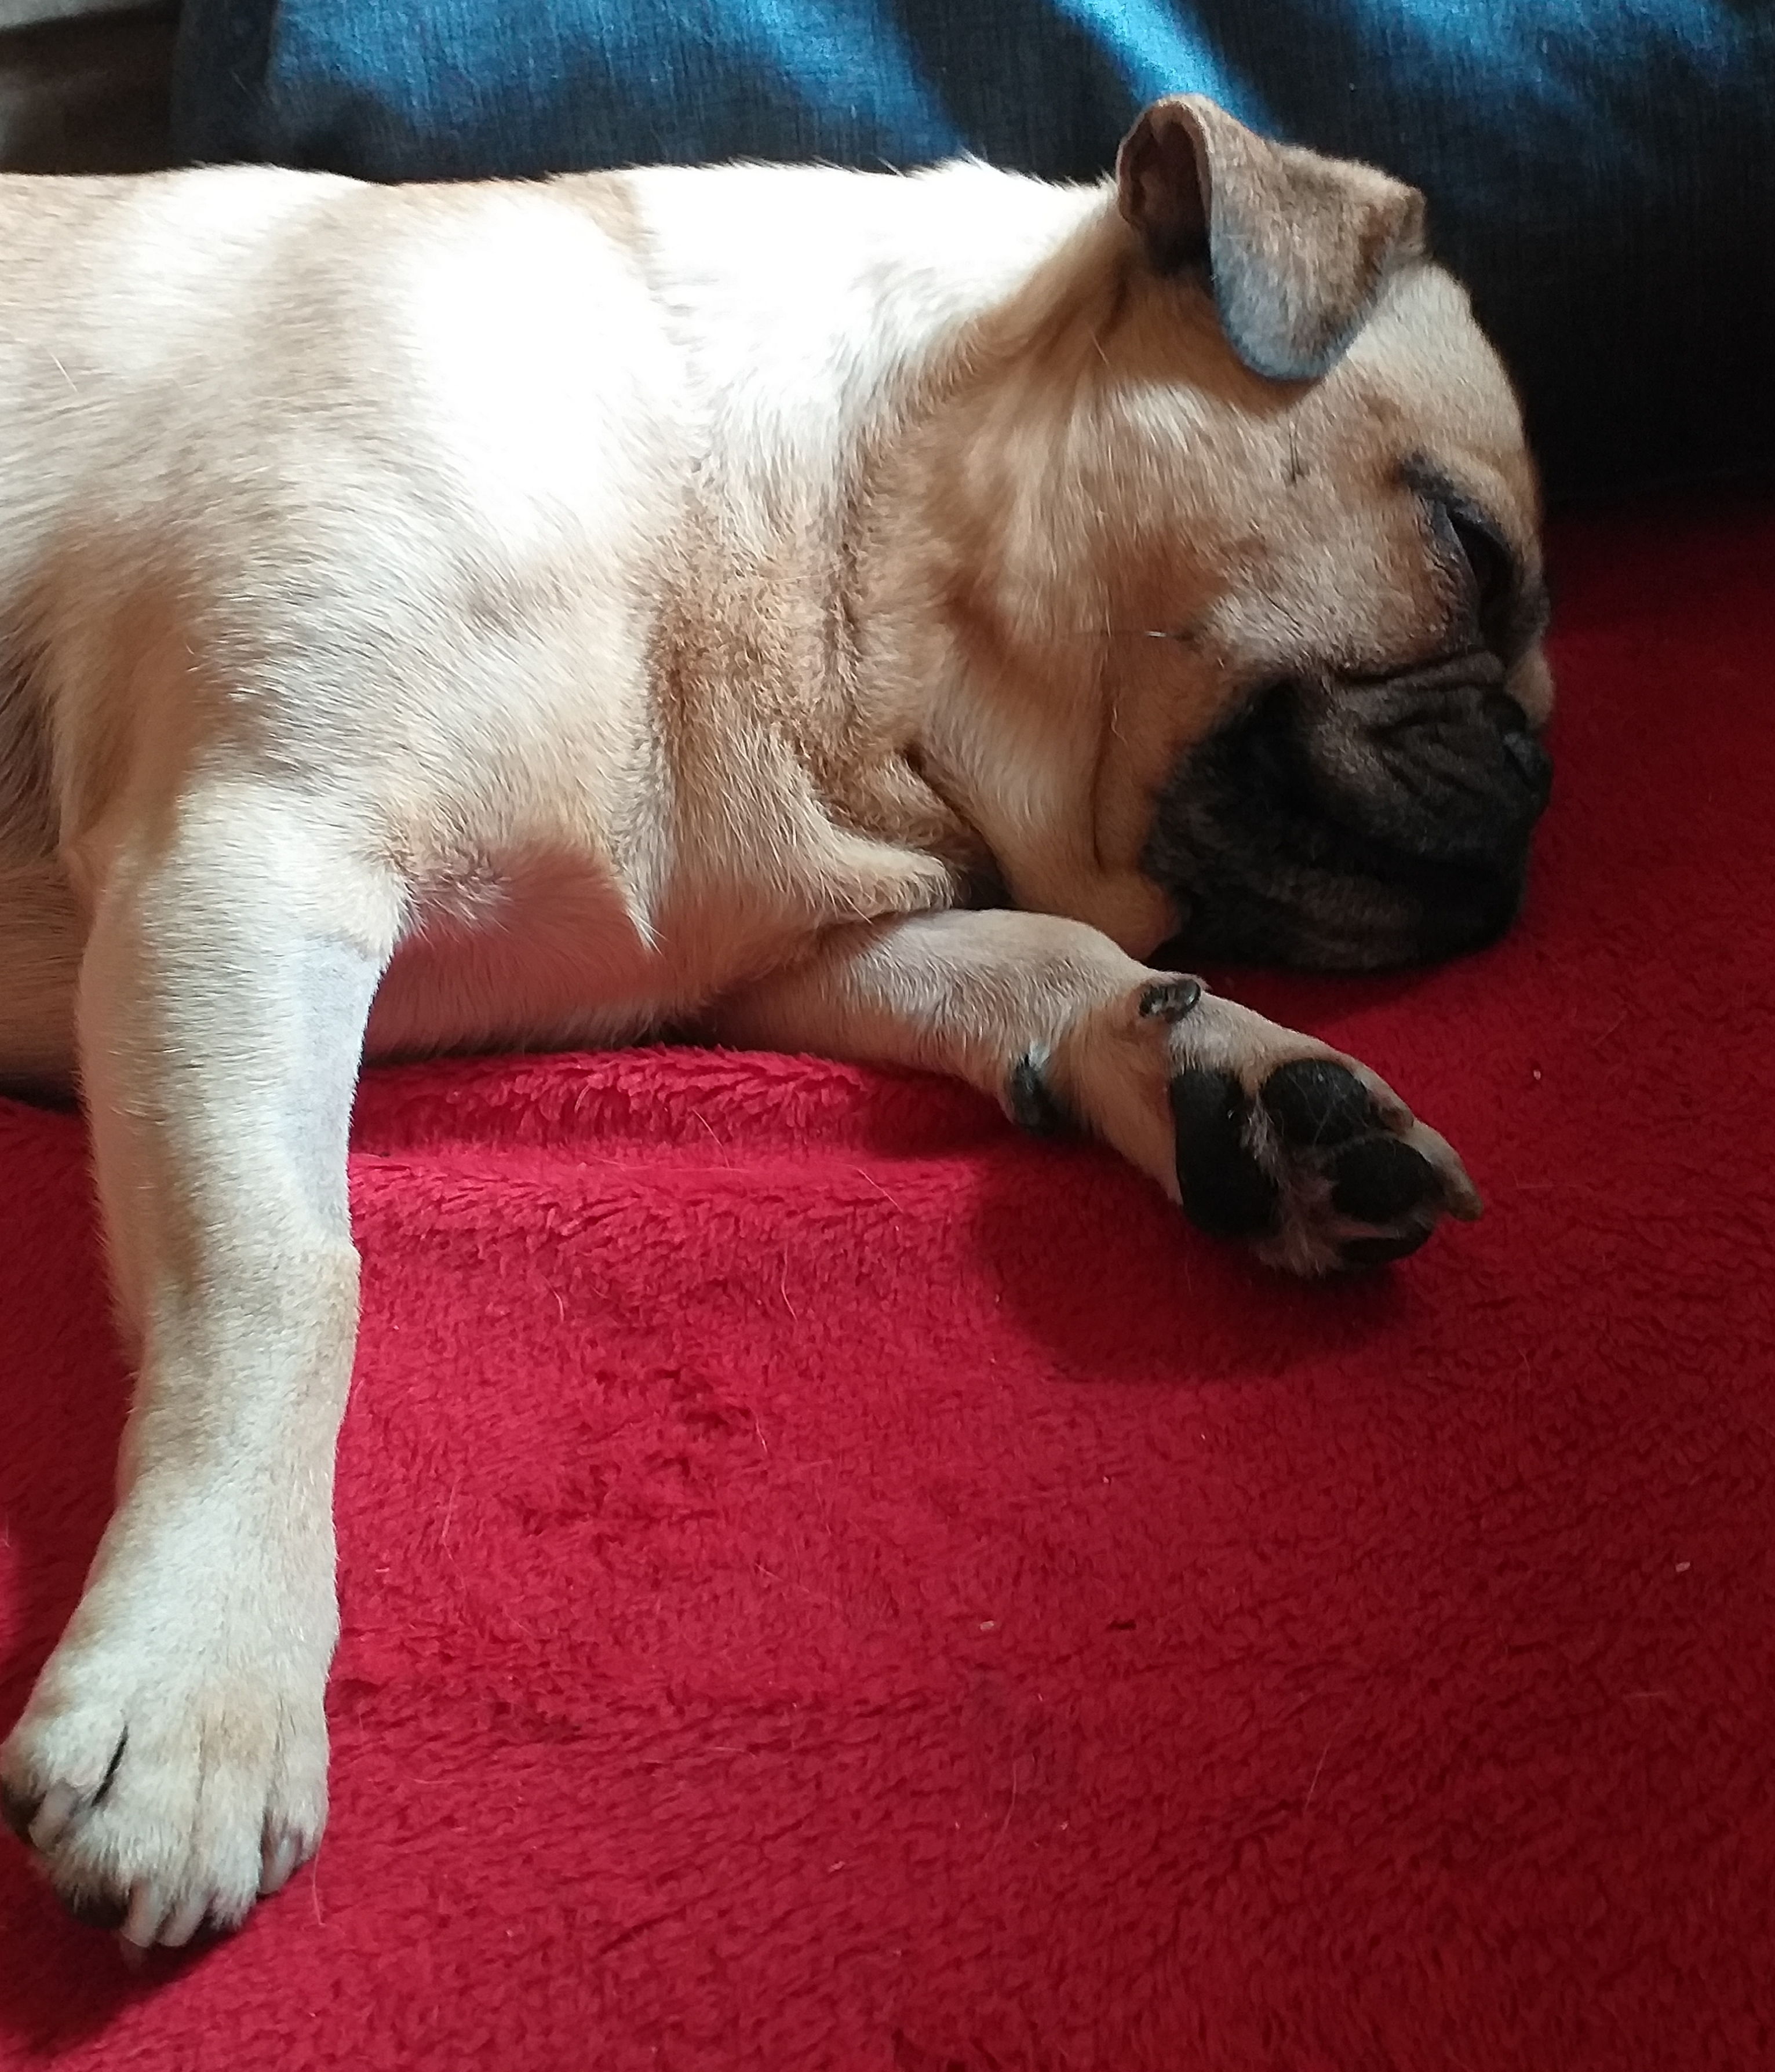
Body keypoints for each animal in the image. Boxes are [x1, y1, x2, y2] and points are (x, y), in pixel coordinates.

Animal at [0, 95, 1551, 1945]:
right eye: (1464, 550)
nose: (1537, 775)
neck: (814, 550)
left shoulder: (778, 956)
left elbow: (1038, 956)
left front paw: (1238, 1076)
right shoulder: (244, 867)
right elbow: (287, 1279)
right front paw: (201, 1689)